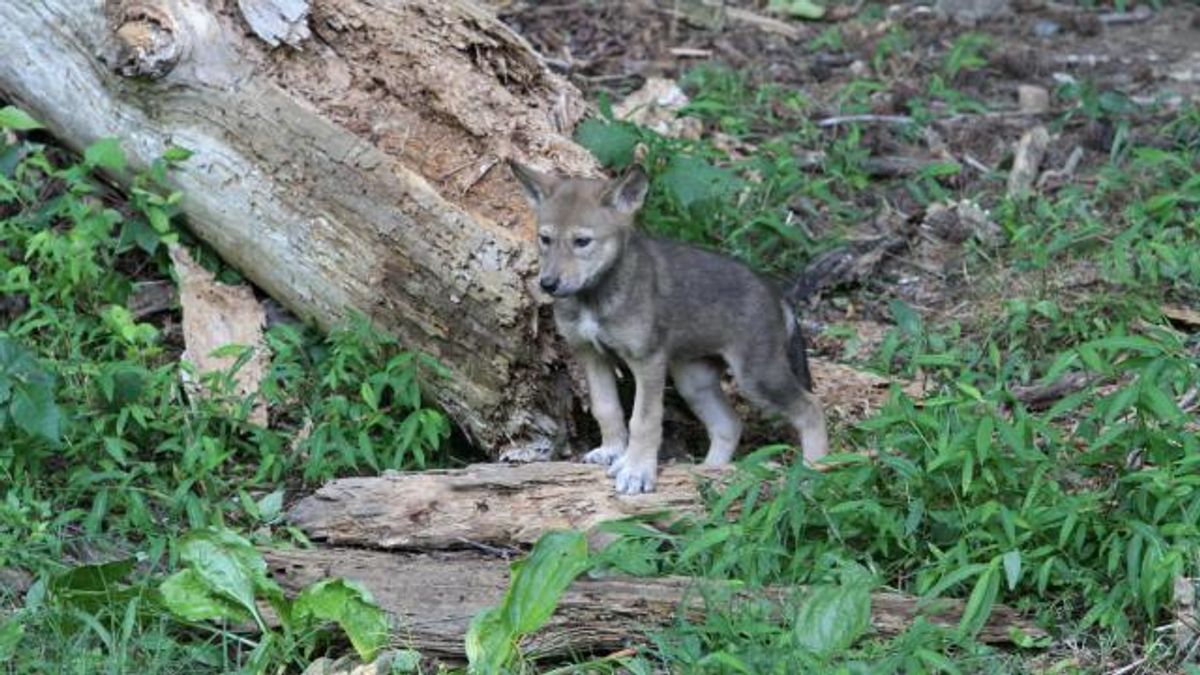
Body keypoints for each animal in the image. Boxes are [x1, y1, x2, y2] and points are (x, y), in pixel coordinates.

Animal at [511, 161, 829, 494]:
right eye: (545, 239)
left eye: (582, 241)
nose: (548, 284)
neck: (595, 297)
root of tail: (776, 295)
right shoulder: (590, 354)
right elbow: (606, 408)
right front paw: (612, 452)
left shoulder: (647, 361)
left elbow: (644, 420)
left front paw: (636, 471)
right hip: (695, 379)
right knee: (729, 425)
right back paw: (709, 472)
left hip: (757, 376)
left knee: (811, 408)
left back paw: (815, 471)